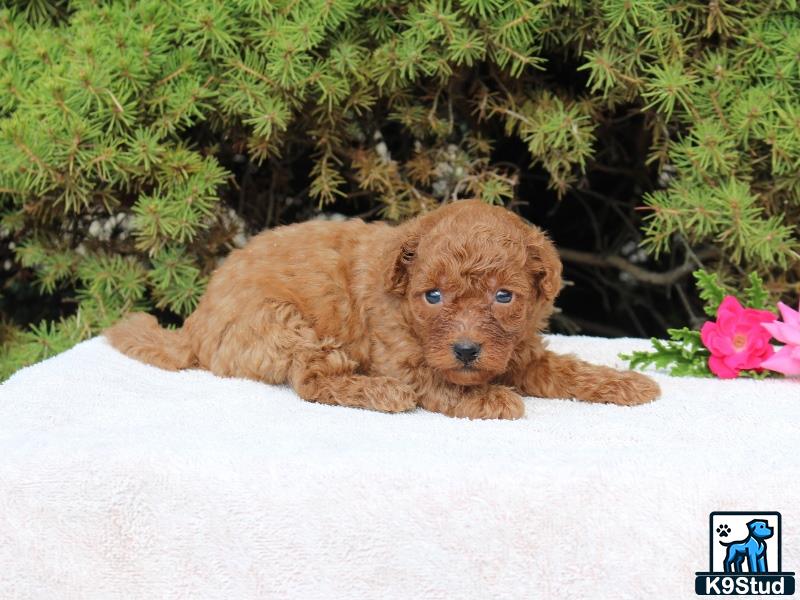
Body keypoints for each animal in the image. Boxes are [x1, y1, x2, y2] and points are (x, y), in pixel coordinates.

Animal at [106, 200, 660, 418]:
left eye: (504, 297)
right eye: (432, 297)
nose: (466, 351)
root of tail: (195, 323)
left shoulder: (519, 350)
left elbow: (568, 370)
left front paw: (629, 384)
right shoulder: (401, 358)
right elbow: (439, 384)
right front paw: (489, 399)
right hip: (281, 323)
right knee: (312, 381)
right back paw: (380, 394)